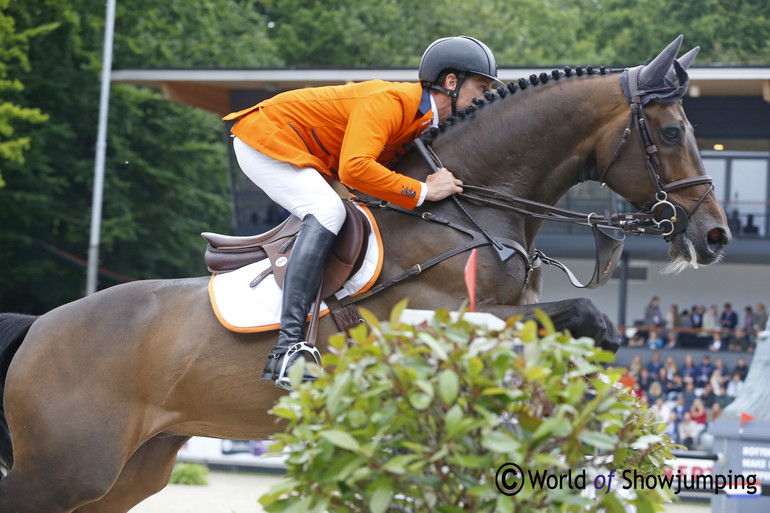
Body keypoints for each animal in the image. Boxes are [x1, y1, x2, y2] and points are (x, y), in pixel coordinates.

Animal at [0, 37, 728, 512]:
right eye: (669, 134)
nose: (717, 236)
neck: (467, 212)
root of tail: (40, 326)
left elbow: (582, 337)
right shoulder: (447, 324)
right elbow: (579, 317)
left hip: (126, 471)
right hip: (65, 468)